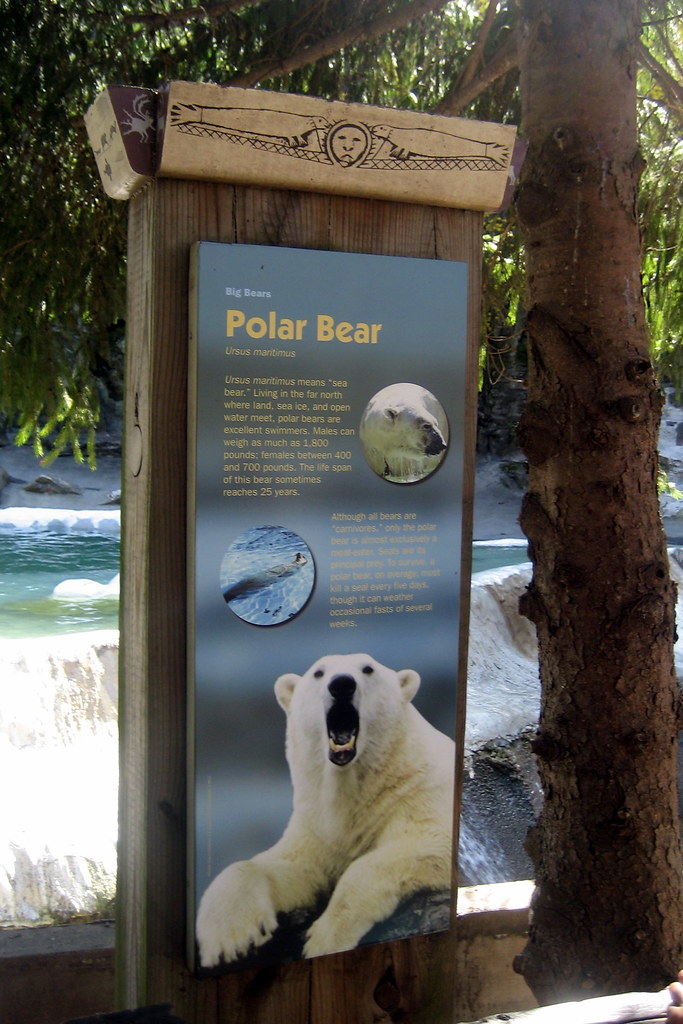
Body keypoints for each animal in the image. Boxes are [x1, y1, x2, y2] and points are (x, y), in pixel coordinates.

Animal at [195, 652, 455, 967]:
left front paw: (325, 937)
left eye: (368, 668)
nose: (342, 684)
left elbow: (431, 845)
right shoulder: (319, 824)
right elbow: (294, 868)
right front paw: (228, 939)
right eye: (318, 672)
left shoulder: (420, 795)